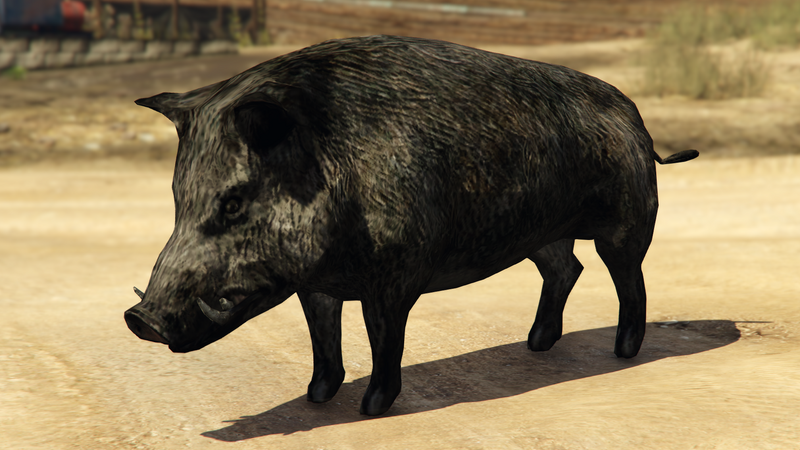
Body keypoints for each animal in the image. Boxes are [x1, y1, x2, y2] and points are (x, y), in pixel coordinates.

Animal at [124, 35, 698, 416]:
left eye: (234, 202)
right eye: (178, 197)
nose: (141, 319)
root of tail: (639, 123)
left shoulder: (395, 276)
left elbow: (384, 338)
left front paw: (371, 408)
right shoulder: (316, 284)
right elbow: (322, 336)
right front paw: (316, 398)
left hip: (628, 221)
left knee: (628, 279)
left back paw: (623, 352)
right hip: (540, 234)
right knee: (567, 269)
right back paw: (536, 345)